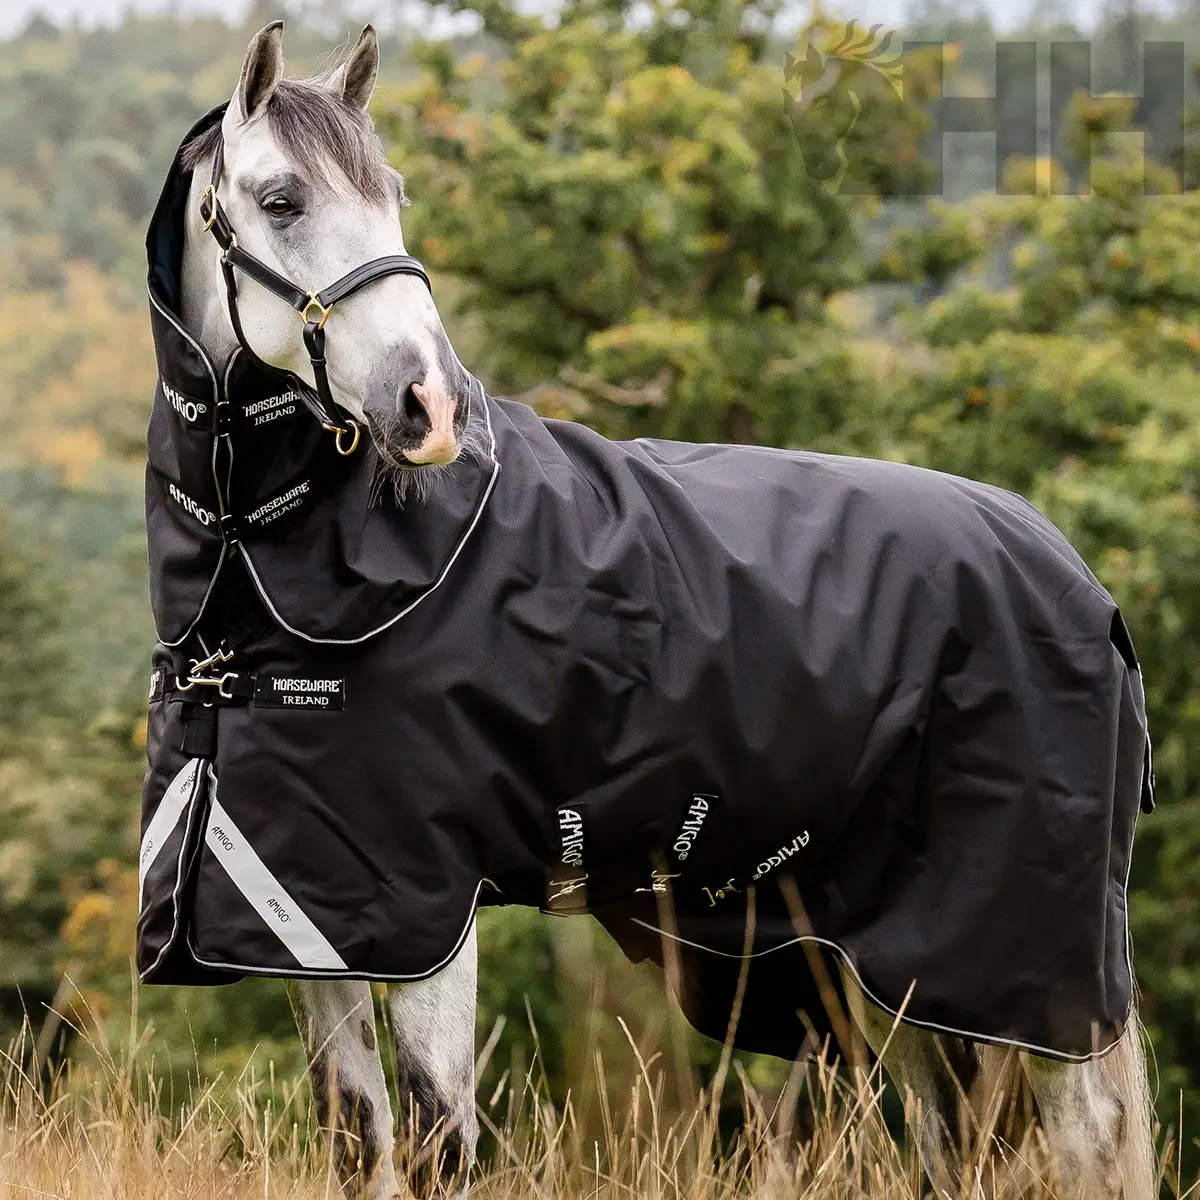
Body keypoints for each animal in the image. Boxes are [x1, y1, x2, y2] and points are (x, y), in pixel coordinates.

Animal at [157, 21, 1156, 1200]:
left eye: (391, 193)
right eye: (281, 200)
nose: (429, 405)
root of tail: (1079, 579)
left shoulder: (426, 911)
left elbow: (441, 1137)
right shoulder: (311, 921)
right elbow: (359, 1139)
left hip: (1020, 959)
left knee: (1093, 1137)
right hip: (898, 961)